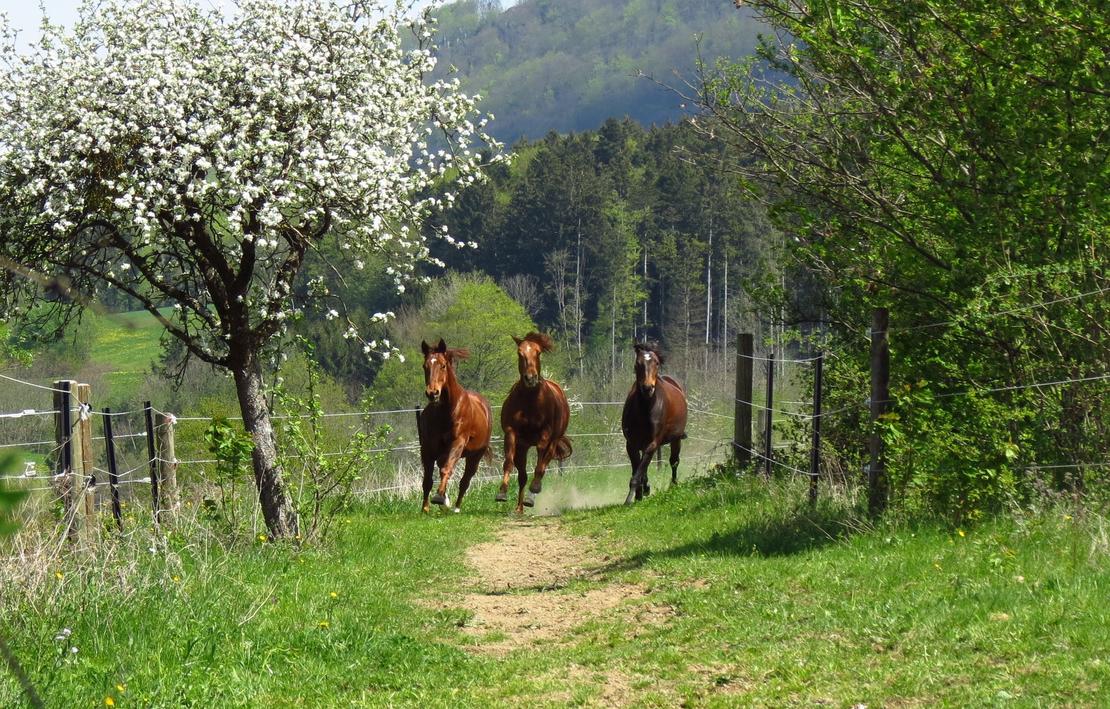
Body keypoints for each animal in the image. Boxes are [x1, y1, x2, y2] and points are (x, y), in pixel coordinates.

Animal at [417, 338, 493, 513]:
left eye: (443, 365)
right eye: (425, 366)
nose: (432, 393)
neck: (446, 410)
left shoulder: (457, 443)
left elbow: (447, 469)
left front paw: (438, 498)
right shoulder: (427, 447)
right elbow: (427, 479)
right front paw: (425, 508)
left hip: (475, 456)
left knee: (465, 480)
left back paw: (456, 507)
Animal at [496, 332, 573, 514]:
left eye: (538, 353)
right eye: (520, 353)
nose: (530, 378)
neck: (531, 401)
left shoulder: (545, 434)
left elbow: (540, 465)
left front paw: (534, 490)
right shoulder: (511, 433)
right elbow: (508, 462)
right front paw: (502, 492)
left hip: (554, 441)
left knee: (543, 464)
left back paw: (531, 496)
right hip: (523, 447)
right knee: (523, 476)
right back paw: (519, 508)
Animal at [622, 342, 688, 505]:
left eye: (656, 363)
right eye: (637, 364)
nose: (647, 388)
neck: (645, 409)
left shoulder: (652, 443)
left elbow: (638, 472)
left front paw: (630, 499)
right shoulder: (631, 444)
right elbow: (638, 469)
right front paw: (639, 494)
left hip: (676, 439)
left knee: (674, 461)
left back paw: (673, 485)